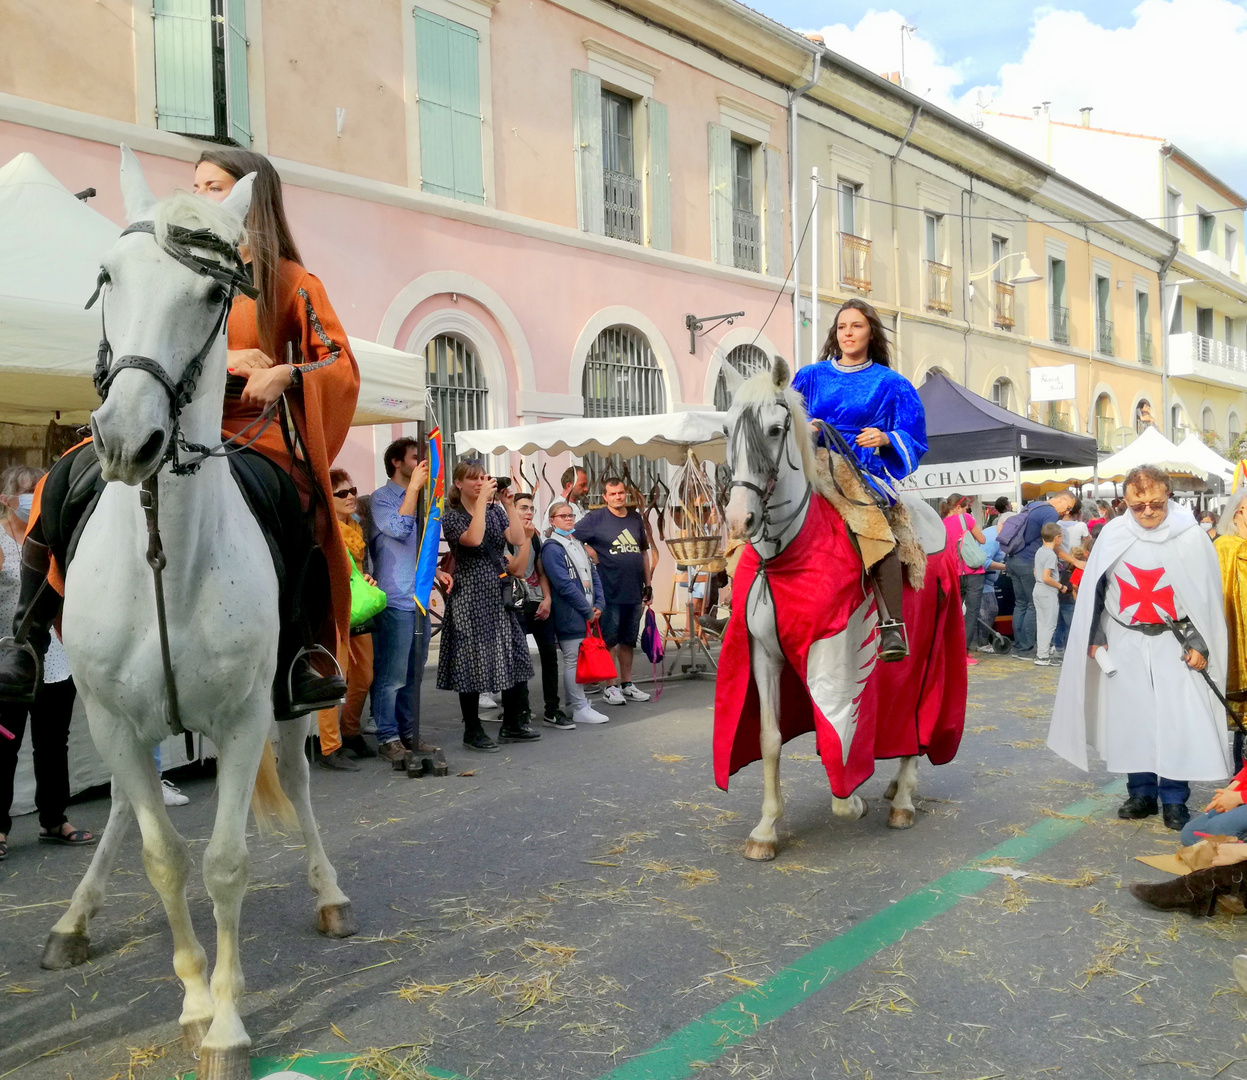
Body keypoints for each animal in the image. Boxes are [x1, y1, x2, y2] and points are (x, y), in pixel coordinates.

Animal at [40, 149, 351, 1077]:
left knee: (302, 791)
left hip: (292, 702)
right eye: (108, 275)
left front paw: (227, 1025)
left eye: (214, 293)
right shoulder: (110, 718)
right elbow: (163, 860)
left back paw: (329, 893)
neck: (164, 555)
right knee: (116, 812)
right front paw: (190, 1001)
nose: (124, 440)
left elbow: (223, 864)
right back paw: (74, 920)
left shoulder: (246, 716)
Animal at [718, 359, 957, 858]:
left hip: (927, 649)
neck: (786, 555)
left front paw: (853, 802)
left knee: (914, 719)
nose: (739, 520)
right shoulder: (764, 655)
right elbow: (769, 738)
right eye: (727, 428)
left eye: (774, 429)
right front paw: (766, 829)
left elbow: (840, 745)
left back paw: (902, 799)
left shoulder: (835, 654)